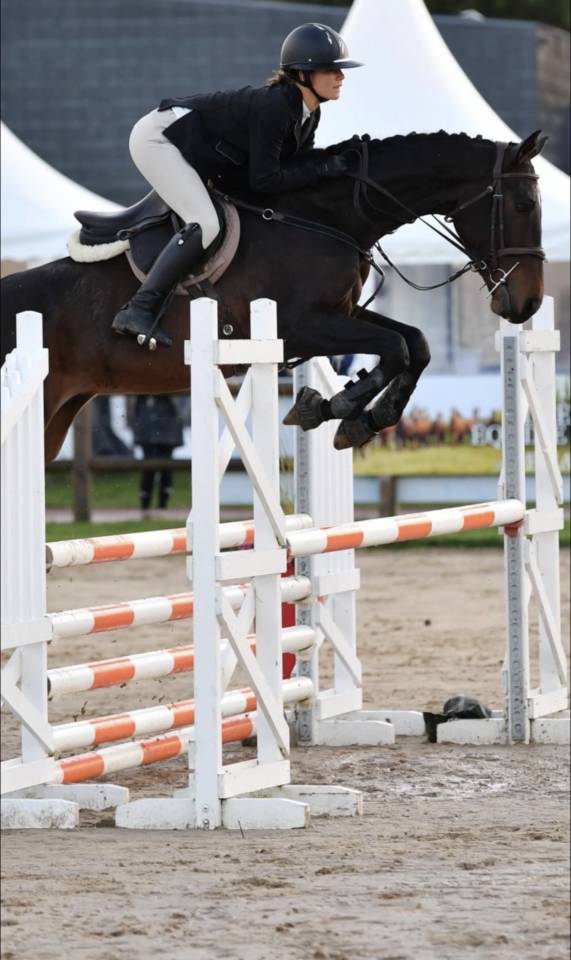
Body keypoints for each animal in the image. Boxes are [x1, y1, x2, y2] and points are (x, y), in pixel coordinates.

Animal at [0, 129, 546, 462]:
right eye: (522, 205)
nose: (528, 304)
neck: (326, 216)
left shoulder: (340, 314)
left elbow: (416, 344)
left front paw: (362, 418)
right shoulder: (300, 327)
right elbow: (395, 349)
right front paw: (331, 409)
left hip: (55, 416)